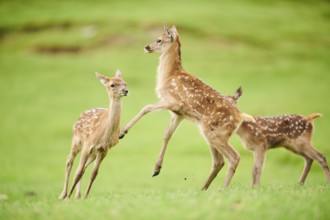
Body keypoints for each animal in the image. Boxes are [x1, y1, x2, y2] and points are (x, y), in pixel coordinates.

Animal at [58, 70, 127, 199]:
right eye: (112, 85)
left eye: (125, 83)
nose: (125, 90)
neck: (103, 134)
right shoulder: (87, 145)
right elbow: (78, 172)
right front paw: (68, 197)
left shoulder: (103, 149)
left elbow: (93, 173)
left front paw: (85, 196)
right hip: (76, 140)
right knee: (69, 161)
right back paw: (63, 194)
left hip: (93, 154)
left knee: (83, 168)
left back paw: (78, 195)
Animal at [120, 23, 254, 189]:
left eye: (159, 40)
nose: (146, 47)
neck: (169, 75)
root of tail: (239, 116)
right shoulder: (179, 113)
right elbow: (167, 134)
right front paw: (156, 169)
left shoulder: (173, 101)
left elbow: (146, 107)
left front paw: (123, 132)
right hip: (211, 133)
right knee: (219, 161)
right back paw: (203, 188)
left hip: (216, 133)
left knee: (234, 157)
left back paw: (222, 188)